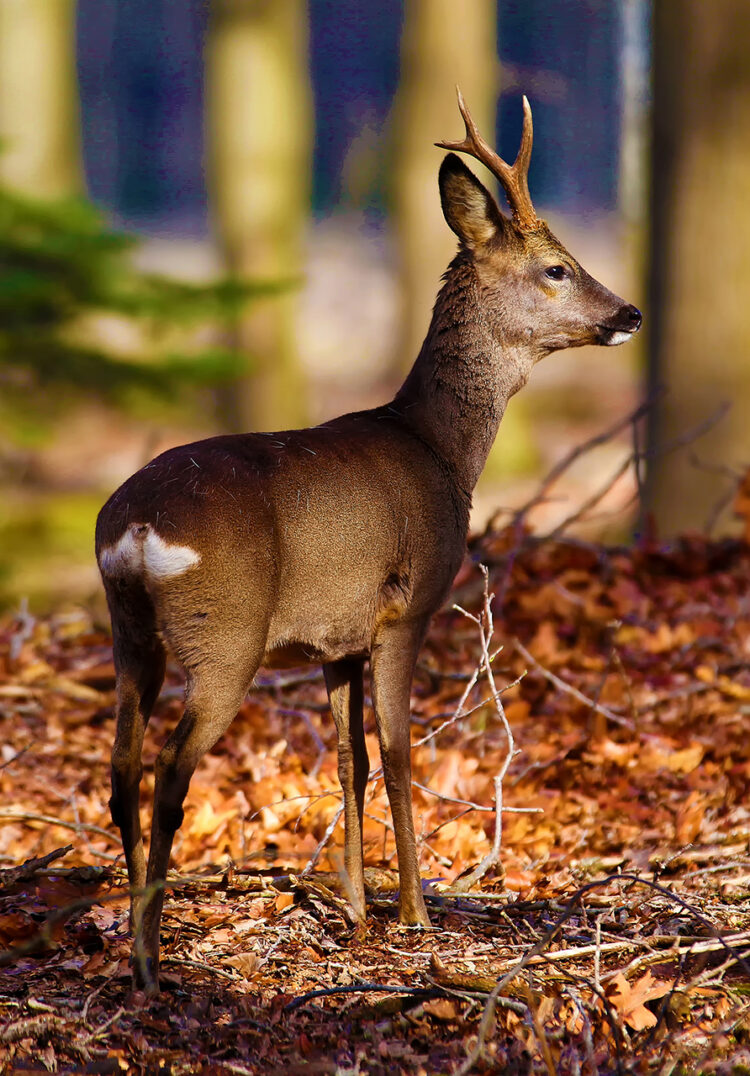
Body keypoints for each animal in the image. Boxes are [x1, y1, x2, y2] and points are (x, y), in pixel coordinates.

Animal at [96, 92, 641, 989]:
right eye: (558, 266)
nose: (627, 313)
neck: (440, 449)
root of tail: (136, 527)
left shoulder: (336, 638)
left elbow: (347, 759)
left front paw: (354, 909)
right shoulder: (408, 606)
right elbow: (396, 749)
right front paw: (415, 910)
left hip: (127, 631)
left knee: (119, 769)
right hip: (227, 634)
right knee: (172, 774)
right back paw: (149, 958)